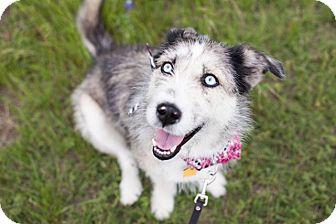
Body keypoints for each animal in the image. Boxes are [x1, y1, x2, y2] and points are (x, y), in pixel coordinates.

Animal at [71, 0, 286, 220]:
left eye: (210, 79)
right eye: (167, 67)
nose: (166, 112)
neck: (190, 153)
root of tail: (106, 53)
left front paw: (213, 183)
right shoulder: (149, 158)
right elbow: (161, 179)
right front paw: (162, 203)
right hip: (93, 118)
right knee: (124, 154)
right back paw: (130, 187)